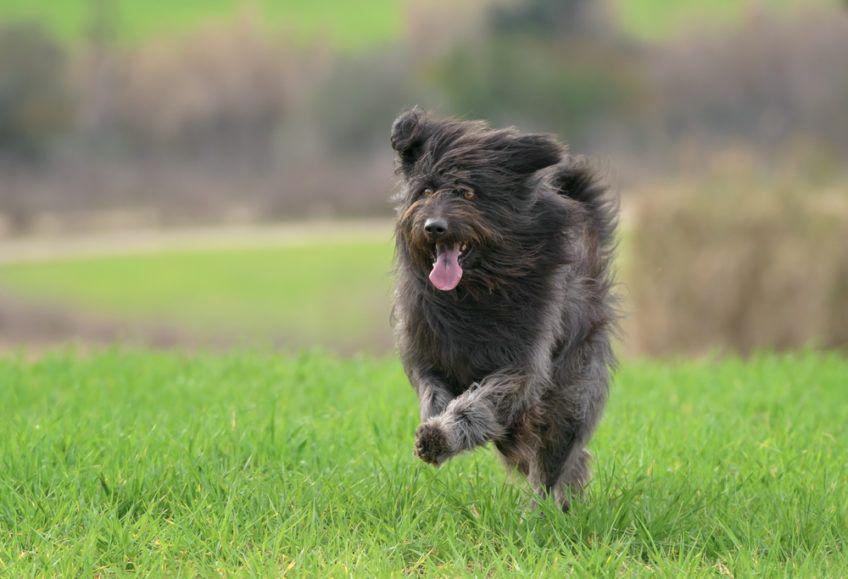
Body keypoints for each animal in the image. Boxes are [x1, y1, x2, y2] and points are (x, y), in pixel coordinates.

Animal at [390, 109, 616, 512]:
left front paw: (443, 434)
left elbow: (480, 404)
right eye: (426, 191)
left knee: (552, 457)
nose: (434, 227)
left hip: (570, 393)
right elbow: (433, 393)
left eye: (467, 193)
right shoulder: (427, 356)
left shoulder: (522, 366)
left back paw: (542, 511)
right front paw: (434, 427)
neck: (472, 295)